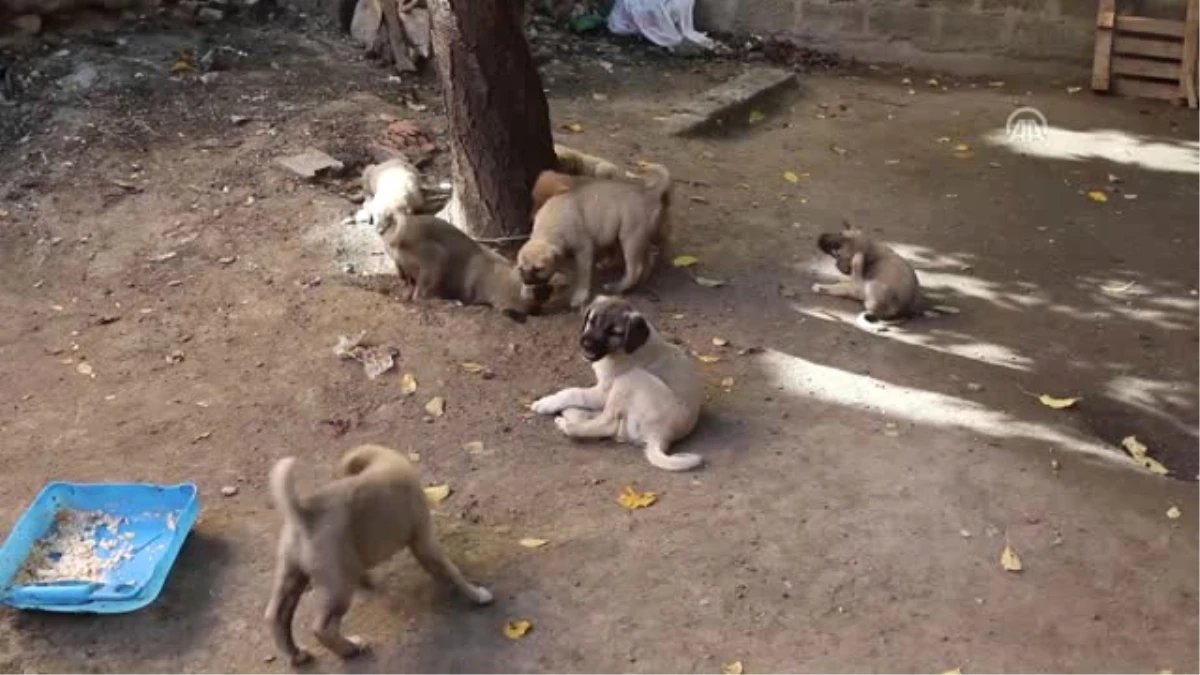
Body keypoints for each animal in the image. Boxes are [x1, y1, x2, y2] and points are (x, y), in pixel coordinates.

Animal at [266, 441, 492, 662]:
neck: (384, 461)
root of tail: (304, 513)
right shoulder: (424, 541)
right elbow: (451, 571)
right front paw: (477, 595)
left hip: (292, 577)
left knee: (276, 616)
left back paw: (296, 654)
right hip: (339, 587)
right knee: (322, 629)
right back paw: (350, 648)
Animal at [518, 163, 676, 307]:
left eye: (539, 269)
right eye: (521, 269)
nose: (526, 281)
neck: (549, 230)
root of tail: (650, 192)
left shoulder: (584, 250)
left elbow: (583, 275)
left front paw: (580, 296)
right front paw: (526, 290)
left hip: (630, 237)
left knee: (635, 269)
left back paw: (617, 286)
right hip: (633, 237)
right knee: (648, 259)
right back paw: (636, 280)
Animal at [528, 296, 700, 470]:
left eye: (613, 332)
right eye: (591, 321)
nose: (585, 343)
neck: (623, 350)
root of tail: (660, 437)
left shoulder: (604, 391)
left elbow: (573, 392)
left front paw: (545, 403)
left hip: (630, 379)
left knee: (607, 424)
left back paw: (565, 422)